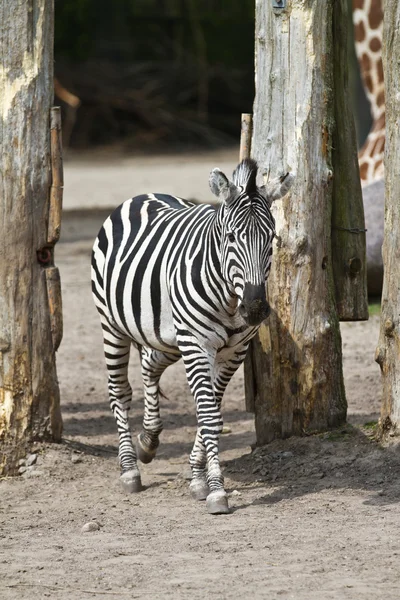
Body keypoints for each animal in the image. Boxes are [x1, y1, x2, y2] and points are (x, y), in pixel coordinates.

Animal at [91, 159, 294, 516]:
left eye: (272, 237)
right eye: (231, 237)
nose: (255, 309)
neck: (229, 299)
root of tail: (143, 195)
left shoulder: (234, 351)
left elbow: (211, 411)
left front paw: (198, 477)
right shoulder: (197, 345)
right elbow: (209, 417)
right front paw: (216, 490)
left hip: (167, 337)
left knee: (149, 366)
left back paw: (148, 441)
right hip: (112, 325)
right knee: (119, 392)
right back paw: (129, 468)